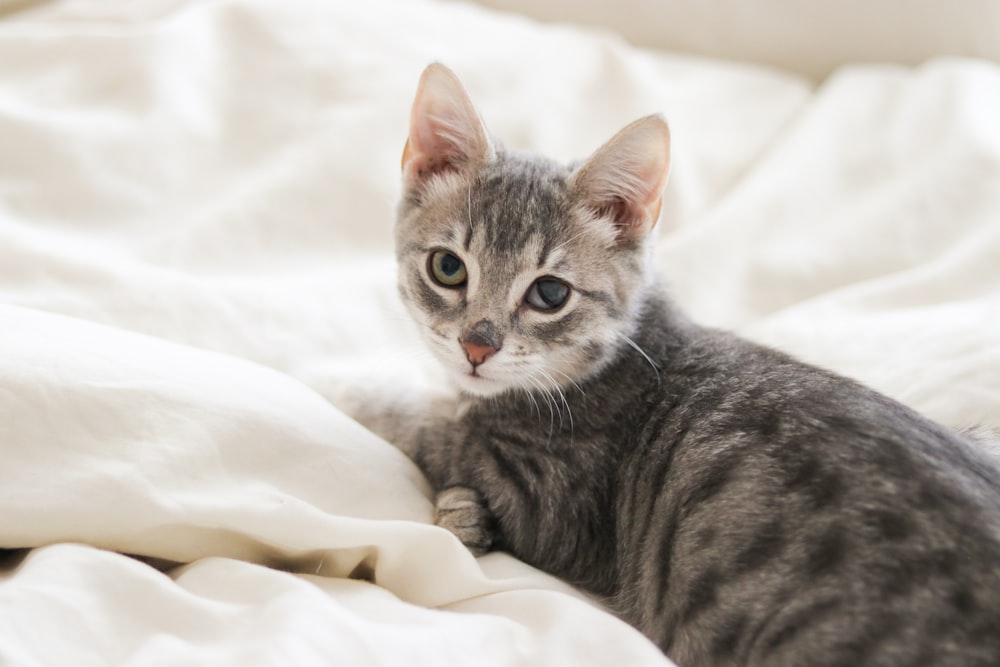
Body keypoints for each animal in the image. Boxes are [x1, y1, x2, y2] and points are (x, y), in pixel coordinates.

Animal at [344, 64, 1000, 667]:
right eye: (448, 268)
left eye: (550, 294)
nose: (477, 347)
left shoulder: (547, 494)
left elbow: (431, 425)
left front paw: (349, 386)